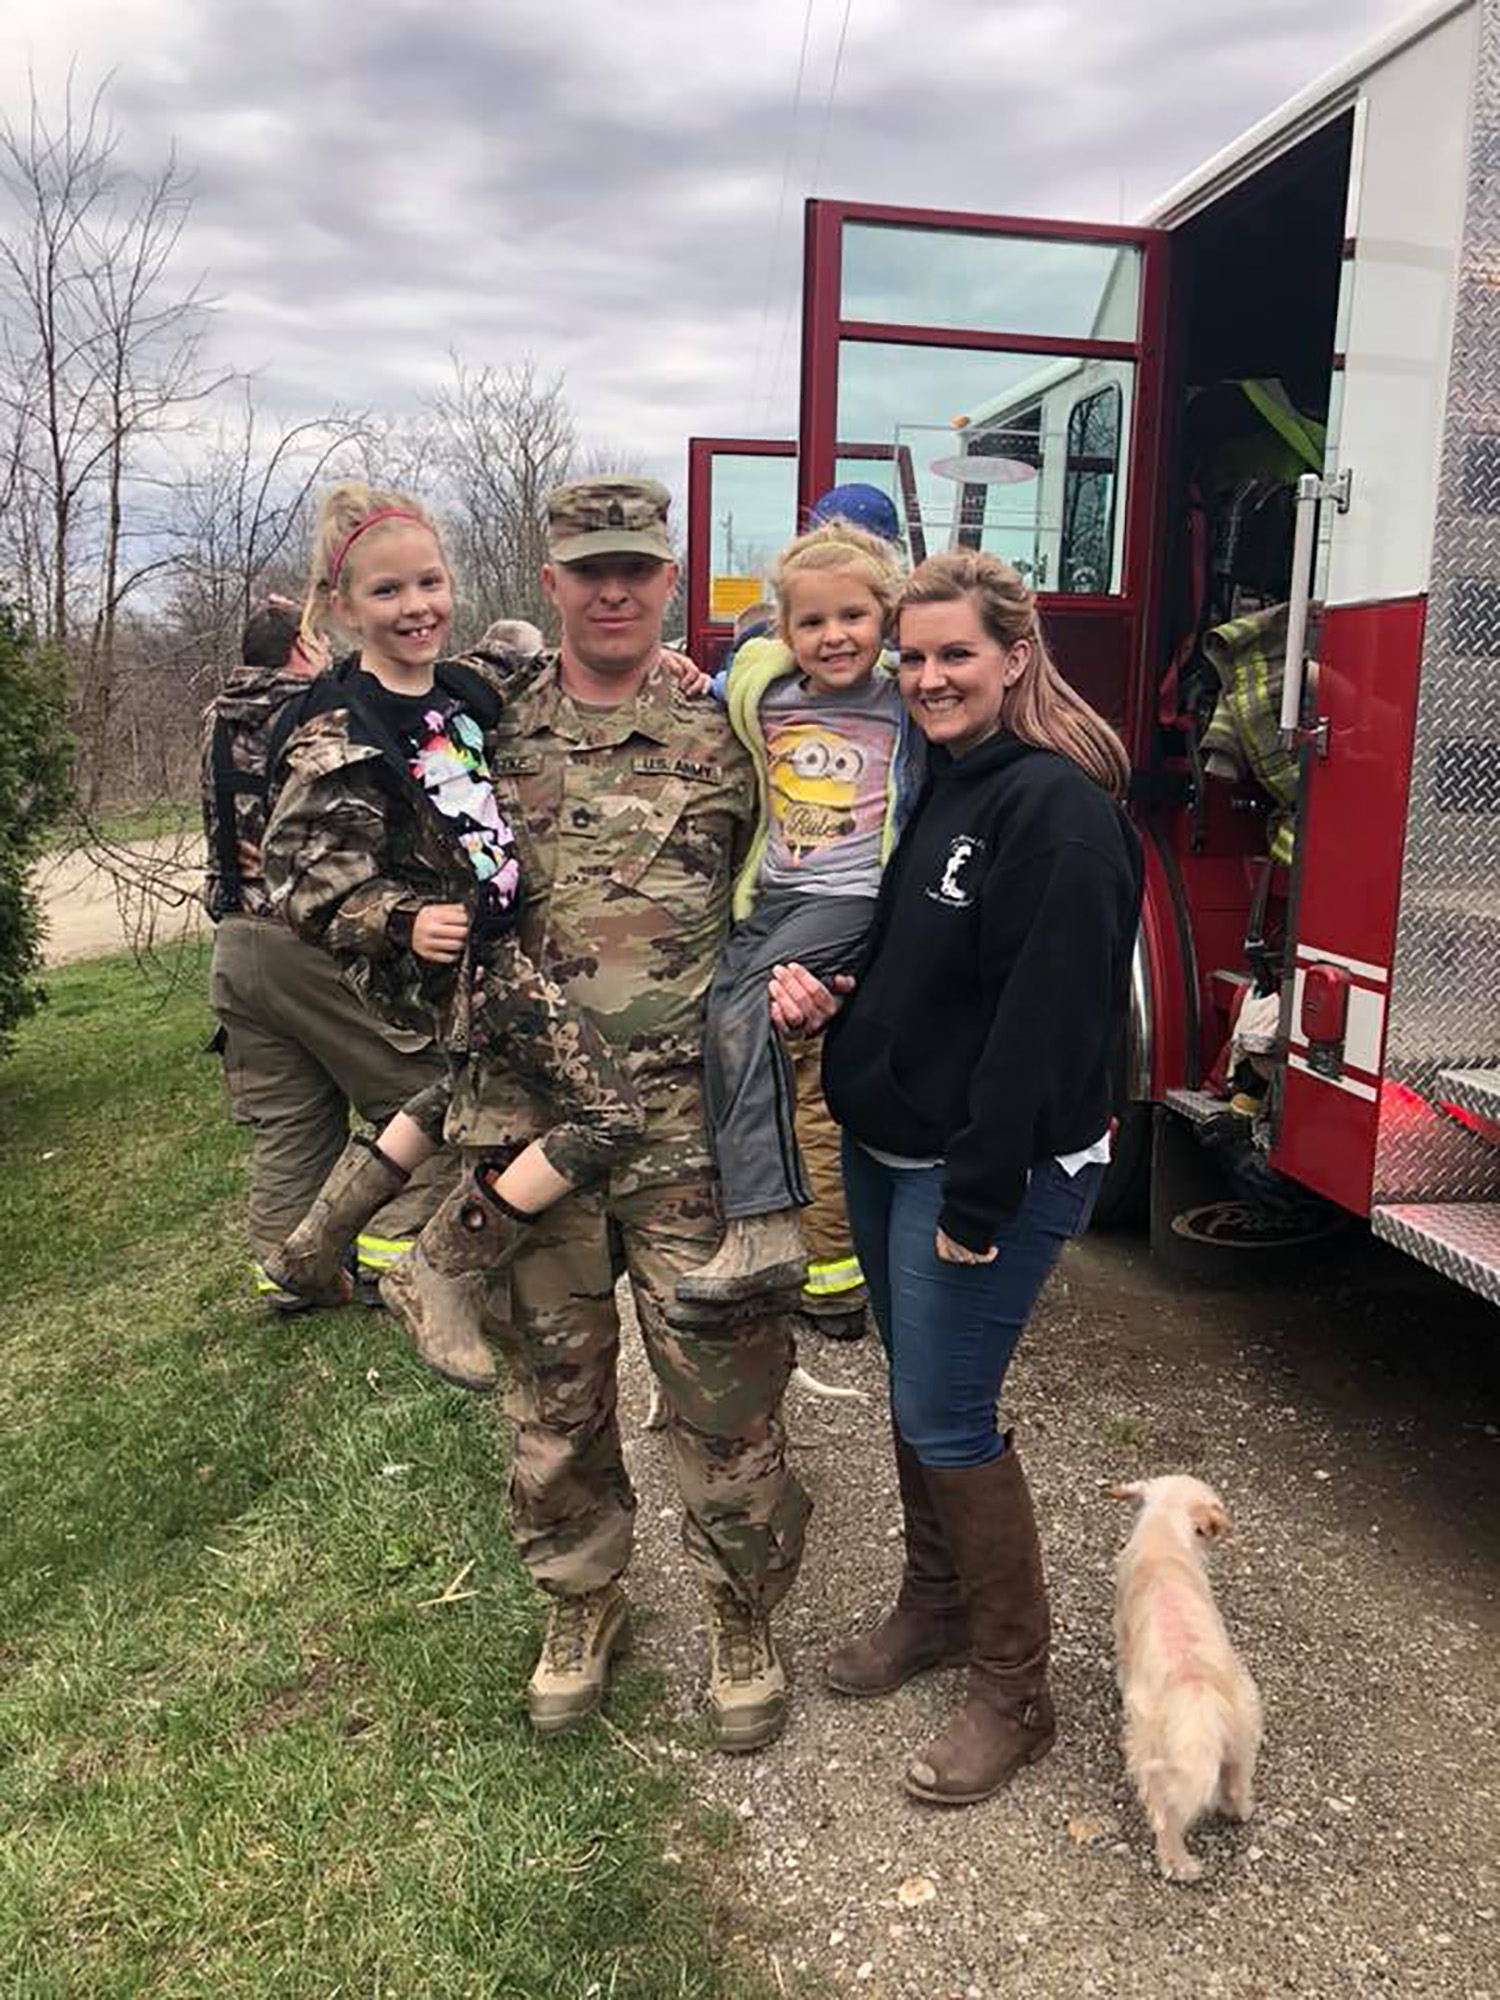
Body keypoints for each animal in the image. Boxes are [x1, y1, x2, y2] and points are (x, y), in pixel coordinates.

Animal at [1112, 1480, 1264, 1880]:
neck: (1164, 1528)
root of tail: (1197, 1693)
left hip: (1151, 1750)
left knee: (1166, 1818)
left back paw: (1177, 1864)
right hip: (1242, 1731)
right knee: (1235, 1782)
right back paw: (1239, 1810)